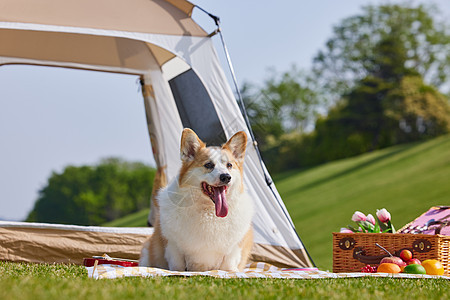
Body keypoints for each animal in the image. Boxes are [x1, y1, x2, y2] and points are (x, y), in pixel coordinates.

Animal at [139, 129, 255, 272]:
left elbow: (228, 266)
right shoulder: (173, 247)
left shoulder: (234, 249)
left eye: (229, 165)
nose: (226, 177)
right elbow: (178, 267)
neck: (209, 212)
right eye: (209, 165)